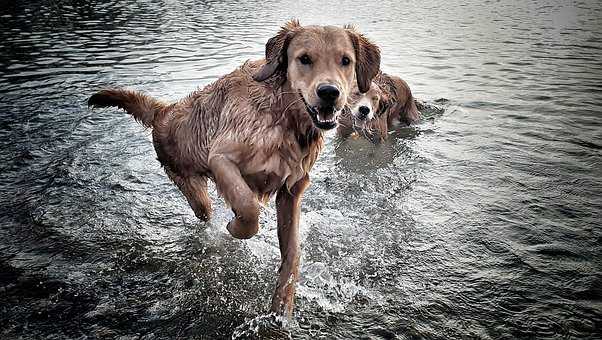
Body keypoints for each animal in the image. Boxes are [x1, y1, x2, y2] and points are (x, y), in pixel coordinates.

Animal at [86, 19, 378, 318]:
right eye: (304, 59)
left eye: (345, 61)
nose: (329, 92)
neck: (283, 116)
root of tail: (163, 113)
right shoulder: (221, 158)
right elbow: (248, 209)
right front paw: (234, 228)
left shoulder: (292, 189)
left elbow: (292, 253)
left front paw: (282, 307)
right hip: (192, 188)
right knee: (205, 210)